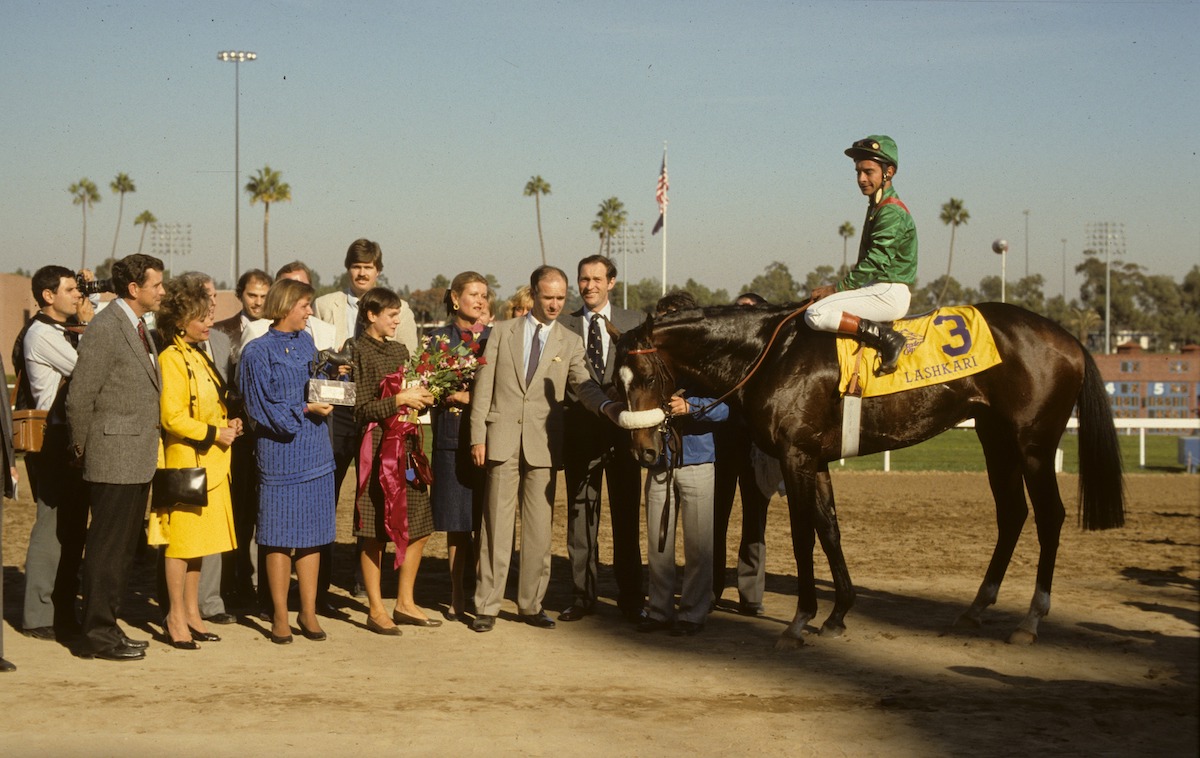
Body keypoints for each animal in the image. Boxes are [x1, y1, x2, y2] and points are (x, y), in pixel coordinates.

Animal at [614, 302, 1128, 647]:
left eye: (646, 377)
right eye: (616, 381)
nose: (643, 449)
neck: (770, 353)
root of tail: (1070, 338)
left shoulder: (796, 455)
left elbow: (803, 534)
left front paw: (800, 620)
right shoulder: (816, 459)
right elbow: (829, 529)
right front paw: (838, 613)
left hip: (1033, 445)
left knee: (1050, 517)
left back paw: (1031, 620)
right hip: (994, 437)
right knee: (1012, 513)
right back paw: (976, 608)